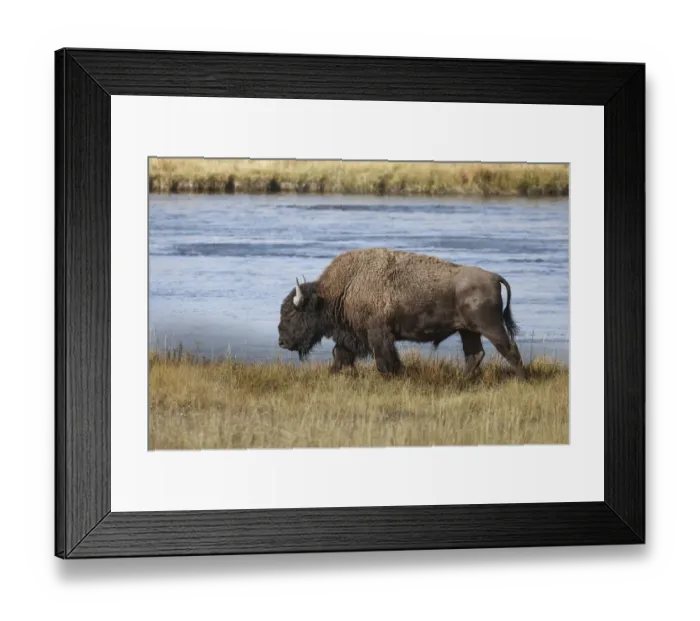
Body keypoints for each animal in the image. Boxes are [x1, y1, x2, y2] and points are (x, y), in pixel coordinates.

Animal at [277, 248, 525, 379]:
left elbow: (384, 360)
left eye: (292, 314)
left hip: (490, 327)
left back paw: (522, 379)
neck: (343, 288)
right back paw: (462, 380)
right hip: (468, 331)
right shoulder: (351, 336)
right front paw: (333, 373)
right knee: (475, 354)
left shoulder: (378, 334)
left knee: (509, 350)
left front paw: (392, 376)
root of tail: (493, 276)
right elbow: (340, 355)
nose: (281, 341)